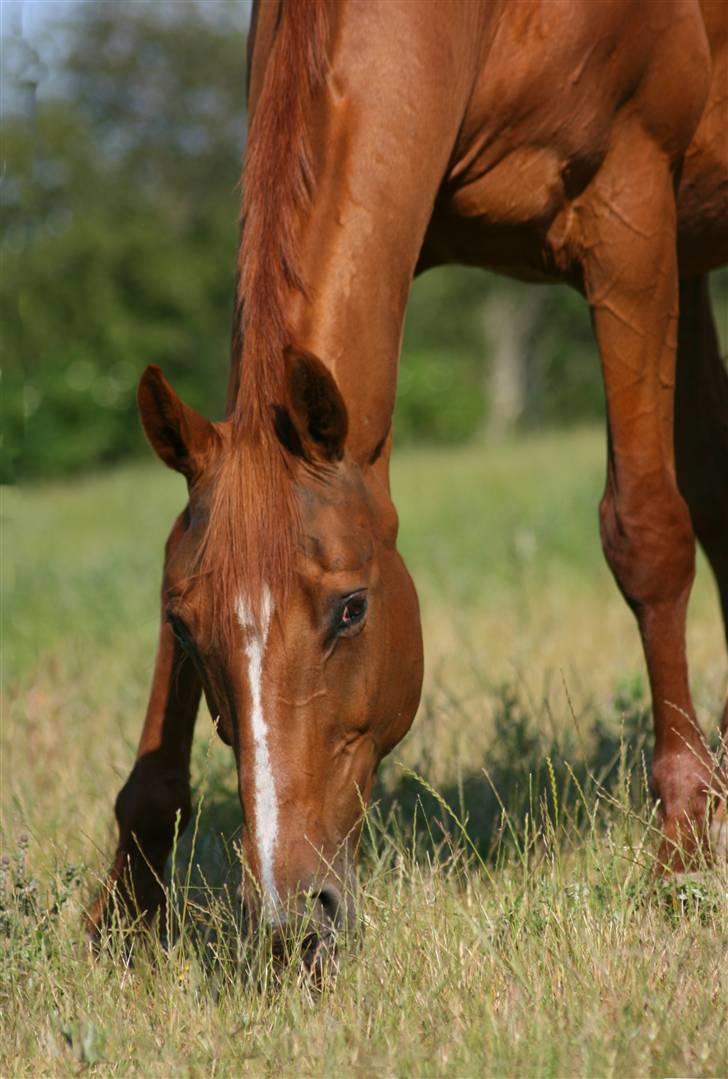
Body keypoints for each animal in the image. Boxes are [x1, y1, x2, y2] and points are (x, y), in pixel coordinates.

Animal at [89, 0, 728, 958]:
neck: (489, 23)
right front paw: (125, 902)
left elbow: (644, 531)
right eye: (184, 622)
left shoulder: (632, 220)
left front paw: (683, 849)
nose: (292, 917)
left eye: (352, 609)